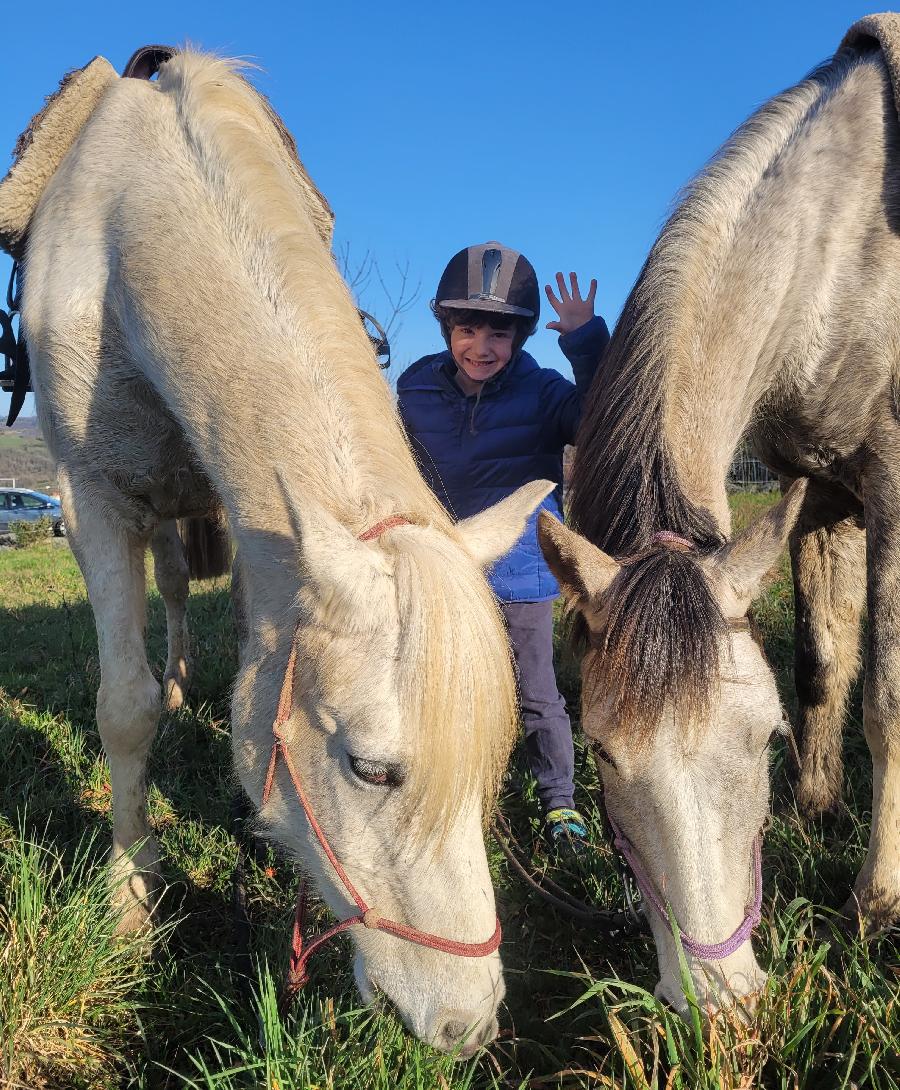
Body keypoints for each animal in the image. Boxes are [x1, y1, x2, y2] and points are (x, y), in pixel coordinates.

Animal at [0, 47, 554, 1054]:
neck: (128, 227)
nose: (465, 1023)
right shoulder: (93, 496)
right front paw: (133, 889)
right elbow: (124, 708)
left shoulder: (264, 536)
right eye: (370, 768)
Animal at [537, 13, 900, 1019]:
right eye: (604, 754)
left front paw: (875, 903)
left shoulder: (891, 479)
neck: (849, 246)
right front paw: (817, 808)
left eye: (762, 742)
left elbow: (885, 694)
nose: (724, 1005)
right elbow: (822, 661)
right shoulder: (816, 493)